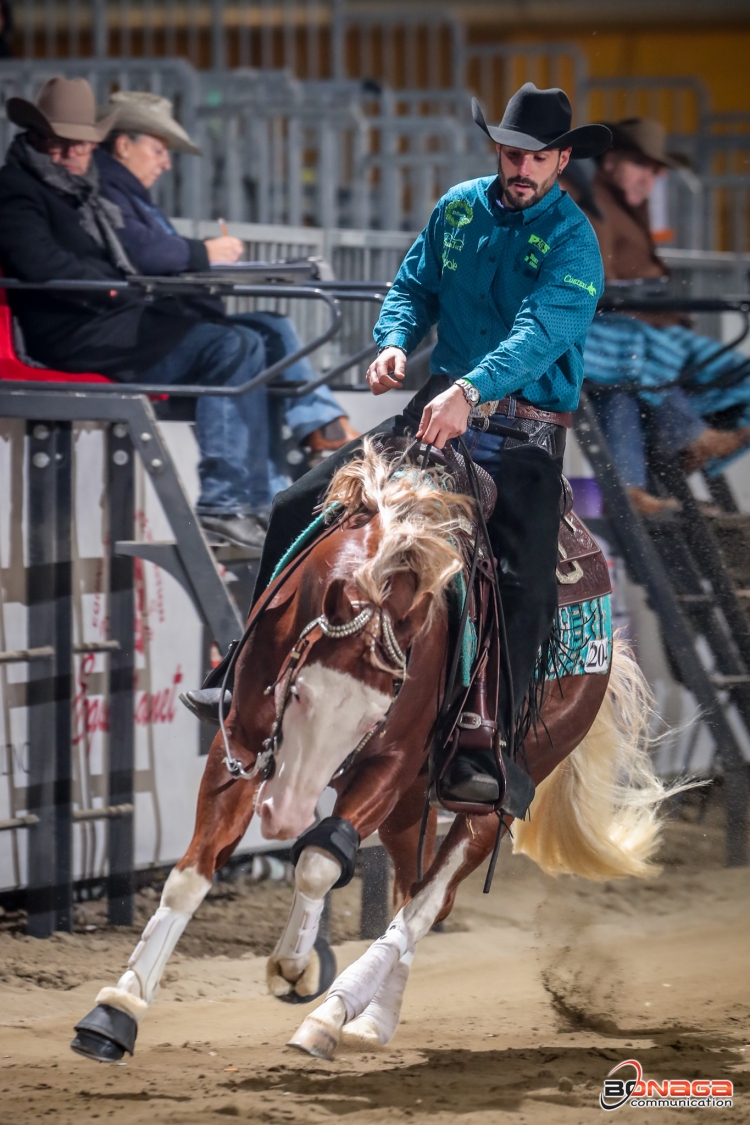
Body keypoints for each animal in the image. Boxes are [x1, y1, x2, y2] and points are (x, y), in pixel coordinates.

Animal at [73, 438, 679, 1062]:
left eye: (379, 709)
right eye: (298, 690)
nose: (283, 813)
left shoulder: (386, 767)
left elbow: (319, 861)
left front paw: (294, 969)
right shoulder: (239, 741)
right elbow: (190, 873)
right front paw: (115, 1011)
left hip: (496, 794)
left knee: (428, 900)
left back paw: (331, 1015)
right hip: (409, 804)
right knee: (414, 893)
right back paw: (369, 1020)